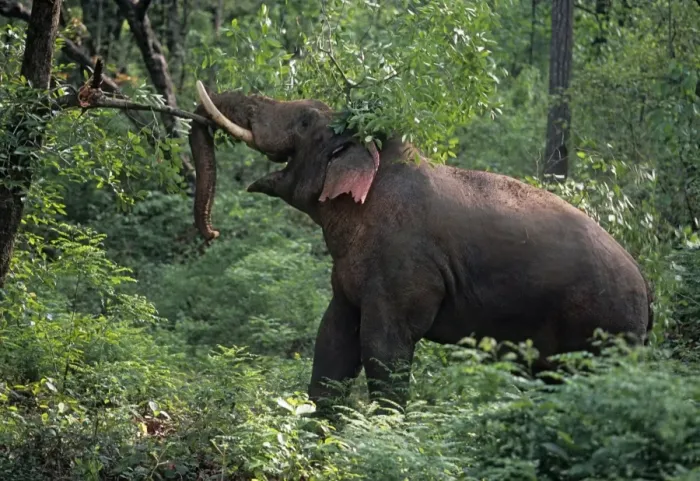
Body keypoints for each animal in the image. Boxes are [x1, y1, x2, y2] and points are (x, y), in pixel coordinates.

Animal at [188, 80, 654, 411]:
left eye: (304, 121)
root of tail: (648, 289)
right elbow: (332, 344)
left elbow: (384, 351)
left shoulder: (403, 268)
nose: (211, 234)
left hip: (604, 328)